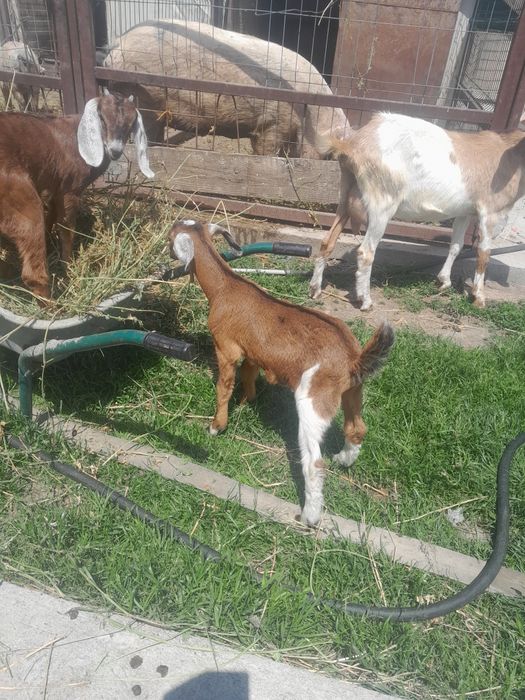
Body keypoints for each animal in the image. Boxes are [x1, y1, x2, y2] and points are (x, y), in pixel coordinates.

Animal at [0, 89, 153, 300]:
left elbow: (52, 219)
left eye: (131, 124)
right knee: (33, 274)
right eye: (102, 118)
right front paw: (68, 265)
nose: (115, 151)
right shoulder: (69, 189)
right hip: (20, 198)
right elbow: (67, 227)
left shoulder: (54, 189)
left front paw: (51, 247)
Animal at [168, 219, 394, 526]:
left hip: (313, 401)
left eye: (169, 238)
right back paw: (344, 459)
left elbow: (224, 387)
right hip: (353, 391)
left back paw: (310, 515)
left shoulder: (226, 348)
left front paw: (216, 426)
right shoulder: (252, 351)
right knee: (357, 429)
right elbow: (249, 375)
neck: (225, 286)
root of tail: (352, 358)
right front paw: (247, 401)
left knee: (314, 462)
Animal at [309, 112, 525, 309]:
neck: (512, 156)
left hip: (346, 193)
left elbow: (456, 245)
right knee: (365, 252)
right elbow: (483, 254)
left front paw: (444, 281)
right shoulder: (491, 213)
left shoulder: (464, 212)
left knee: (327, 241)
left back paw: (315, 289)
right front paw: (479, 297)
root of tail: (353, 144)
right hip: (382, 202)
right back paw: (366, 301)